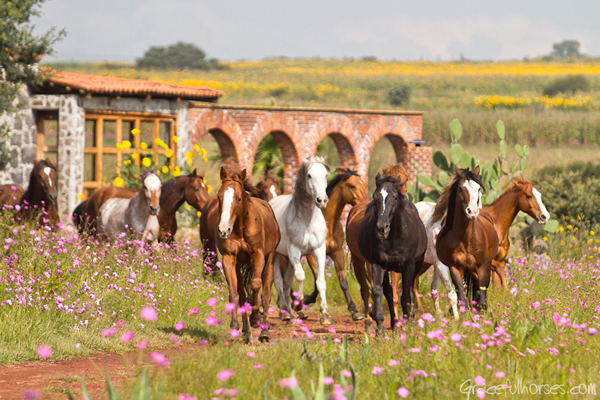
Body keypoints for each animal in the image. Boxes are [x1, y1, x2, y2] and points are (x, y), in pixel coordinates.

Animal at [216, 166, 282, 344]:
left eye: (239, 199)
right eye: (219, 197)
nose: (223, 230)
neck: (240, 229)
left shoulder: (258, 255)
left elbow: (256, 285)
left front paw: (254, 318)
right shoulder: (229, 258)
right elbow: (234, 292)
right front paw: (235, 325)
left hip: (270, 259)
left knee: (266, 294)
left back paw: (264, 331)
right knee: (242, 294)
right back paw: (246, 333)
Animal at [270, 156, 330, 324]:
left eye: (325, 174)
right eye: (309, 175)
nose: (322, 200)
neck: (307, 220)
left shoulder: (319, 250)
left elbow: (321, 282)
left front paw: (325, 315)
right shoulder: (294, 251)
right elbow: (301, 276)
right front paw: (298, 304)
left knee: (287, 281)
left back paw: (289, 313)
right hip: (276, 255)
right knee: (278, 281)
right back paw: (285, 312)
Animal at [302, 169, 368, 322]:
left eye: (363, 184)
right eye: (352, 186)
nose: (367, 203)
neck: (327, 224)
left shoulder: (337, 253)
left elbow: (343, 282)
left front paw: (355, 311)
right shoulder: (312, 256)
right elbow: (318, 280)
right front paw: (320, 310)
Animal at [356, 173, 426, 332]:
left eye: (394, 197)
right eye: (375, 196)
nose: (382, 228)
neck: (394, 238)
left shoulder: (409, 265)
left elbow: (406, 295)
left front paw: (409, 324)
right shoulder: (378, 263)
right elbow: (378, 290)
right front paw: (381, 327)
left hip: (416, 265)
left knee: (409, 289)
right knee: (388, 292)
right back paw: (394, 325)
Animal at [434, 166, 500, 310]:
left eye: (479, 188)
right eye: (460, 188)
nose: (472, 212)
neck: (467, 239)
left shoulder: (482, 268)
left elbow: (481, 298)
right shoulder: (455, 268)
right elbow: (462, 297)